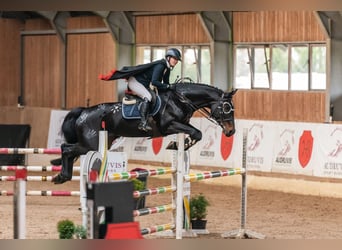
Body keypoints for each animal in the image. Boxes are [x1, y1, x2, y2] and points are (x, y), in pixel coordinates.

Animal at [51, 82, 238, 184]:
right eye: (226, 108)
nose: (231, 131)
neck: (180, 99)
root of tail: (84, 112)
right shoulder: (169, 125)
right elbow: (197, 133)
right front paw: (179, 144)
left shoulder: (181, 124)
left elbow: (195, 133)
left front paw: (178, 144)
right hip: (90, 144)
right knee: (66, 148)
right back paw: (62, 175)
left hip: (100, 142)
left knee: (68, 149)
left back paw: (61, 176)